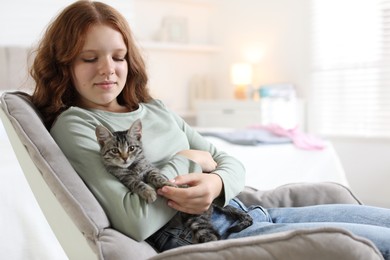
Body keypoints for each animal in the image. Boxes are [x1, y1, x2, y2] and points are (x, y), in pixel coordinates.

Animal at [96, 119, 251, 243]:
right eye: (115, 150)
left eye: (131, 148)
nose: (124, 158)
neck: (132, 166)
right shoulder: (124, 178)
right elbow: (137, 183)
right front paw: (148, 192)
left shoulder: (150, 169)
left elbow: (157, 176)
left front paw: (168, 184)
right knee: (212, 237)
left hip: (195, 216)